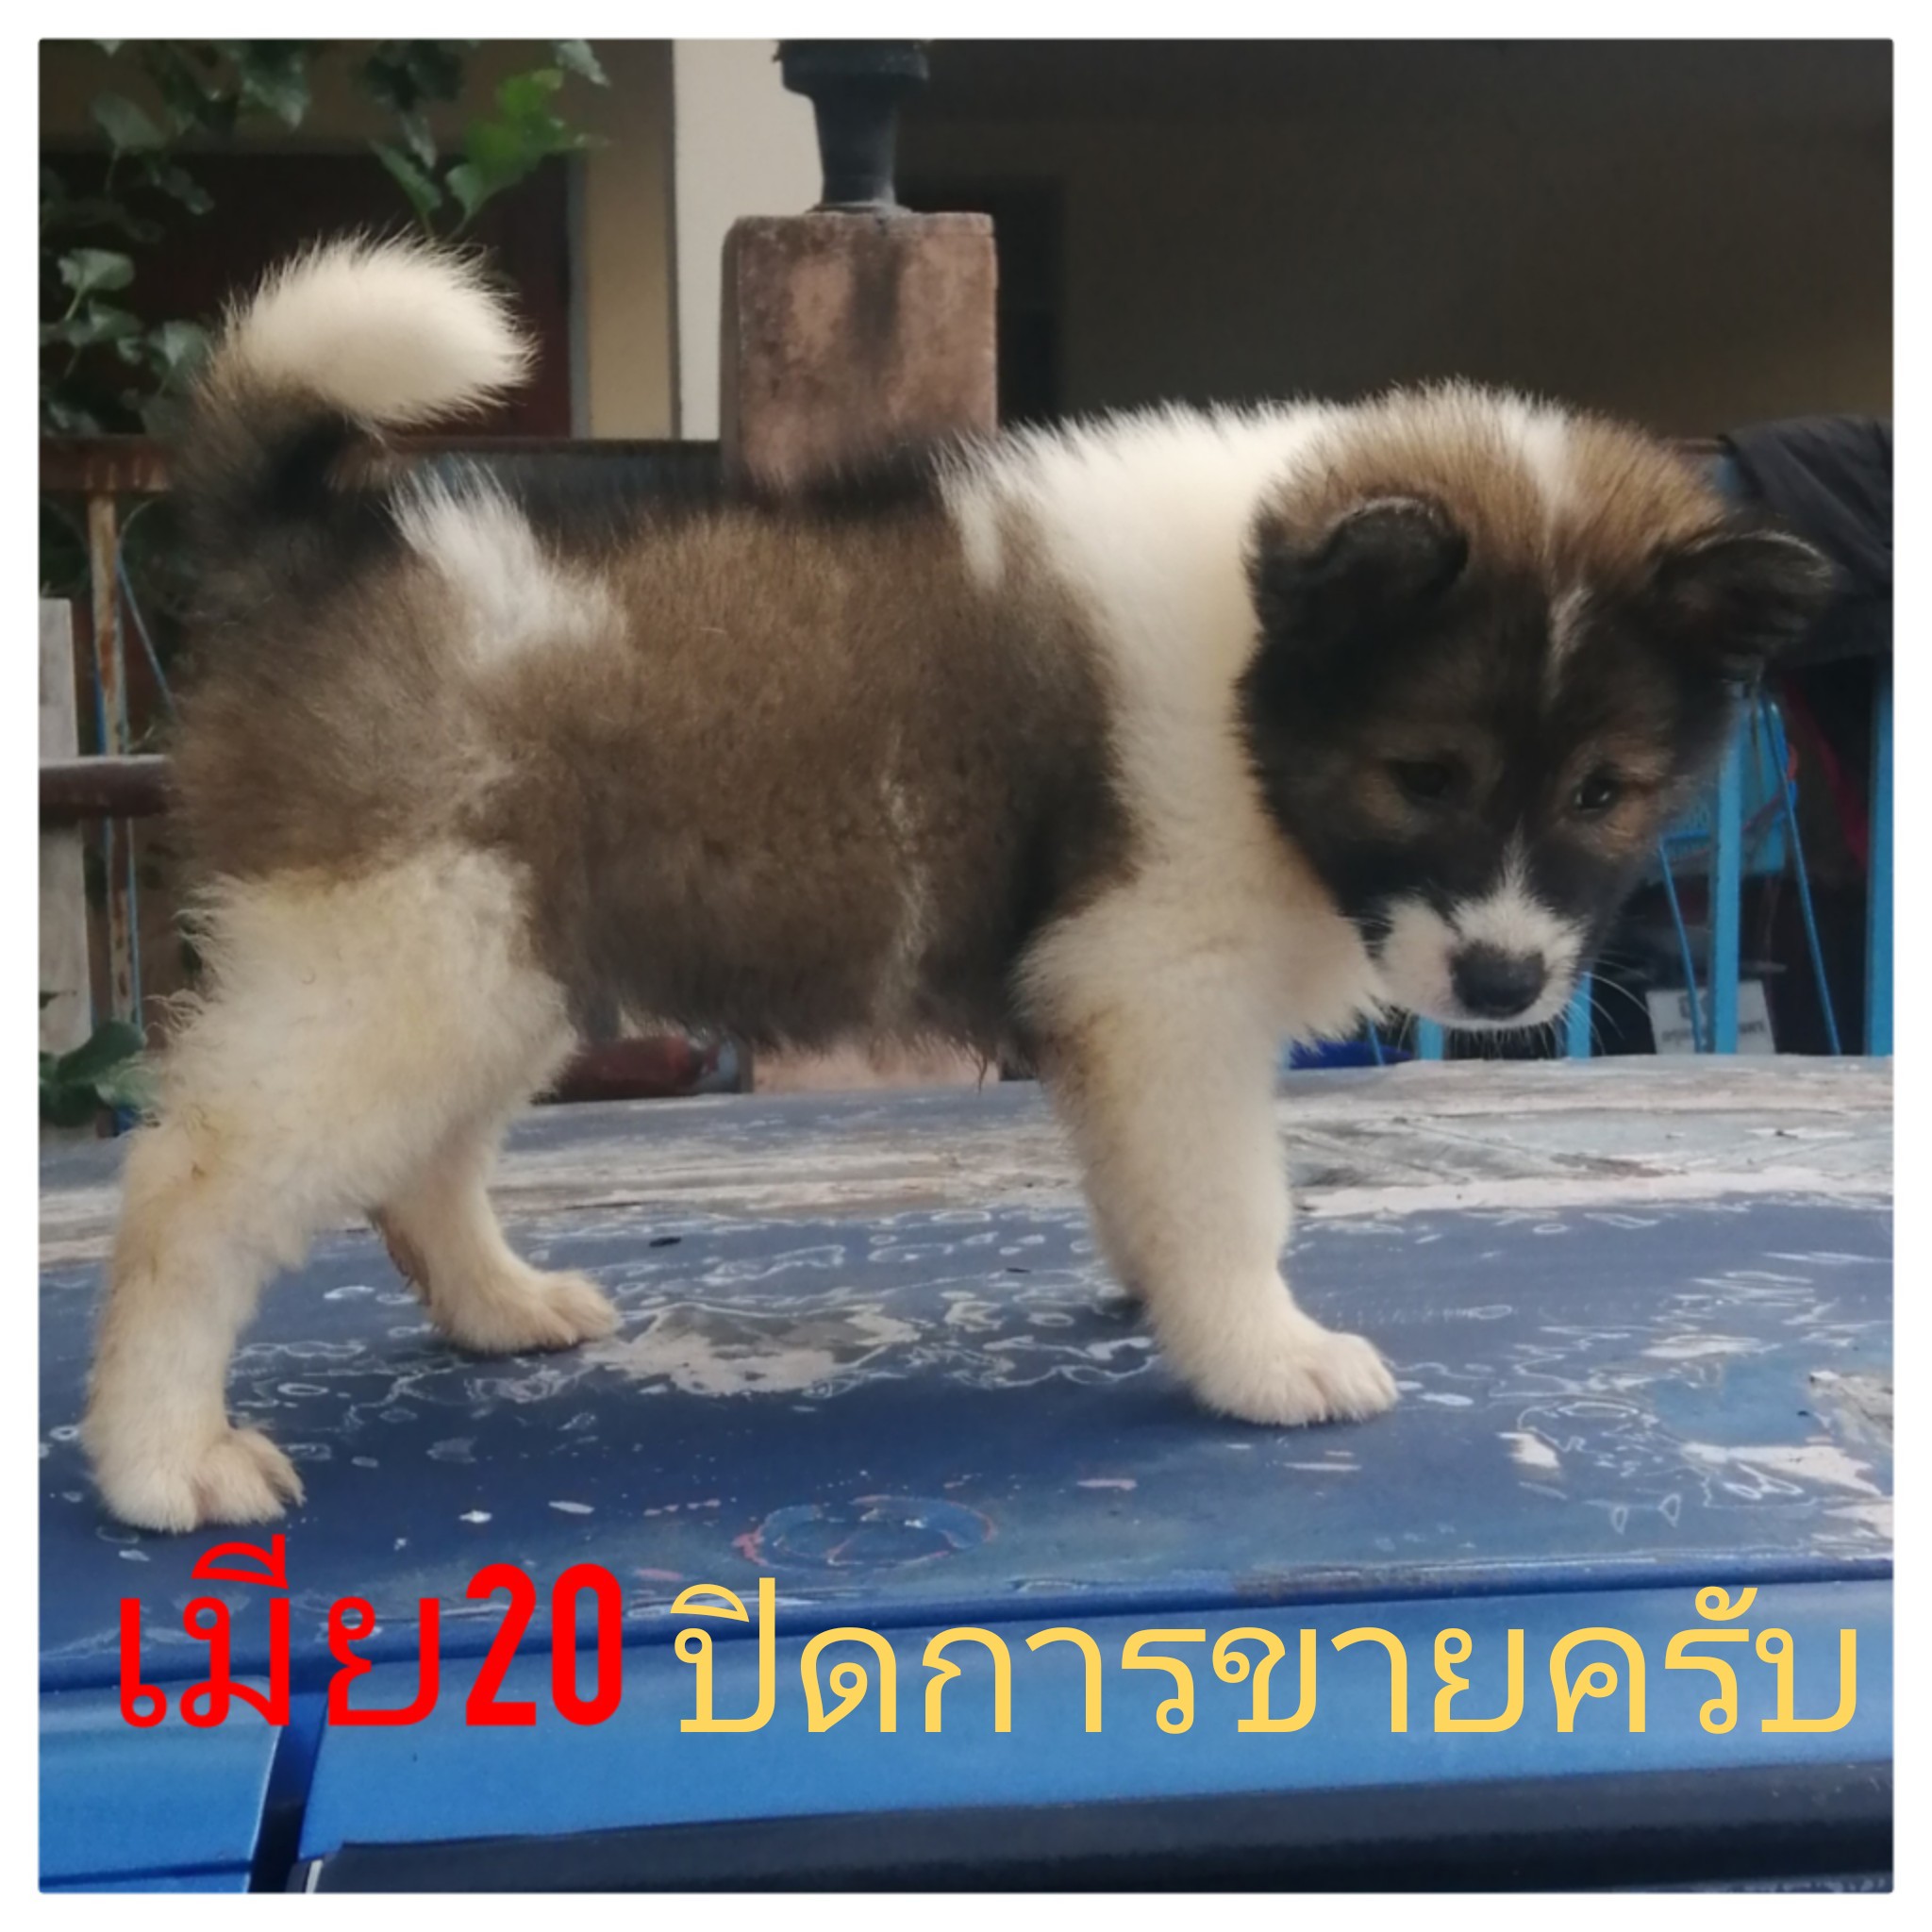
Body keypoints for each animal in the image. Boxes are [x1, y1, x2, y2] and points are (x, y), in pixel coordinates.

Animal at [82, 238, 1831, 1531]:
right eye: (1428, 777)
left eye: (1602, 792)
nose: (1498, 983)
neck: (1256, 673)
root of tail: (316, 550)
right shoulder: (1158, 981)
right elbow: (1229, 1191)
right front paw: (1262, 1353)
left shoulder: (1125, 1010)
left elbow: (1160, 1178)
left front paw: (1164, 1294)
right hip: (396, 951)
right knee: (190, 1189)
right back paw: (161, 1457)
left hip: (486, 955)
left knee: (422, 1163)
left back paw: (496, 1303)